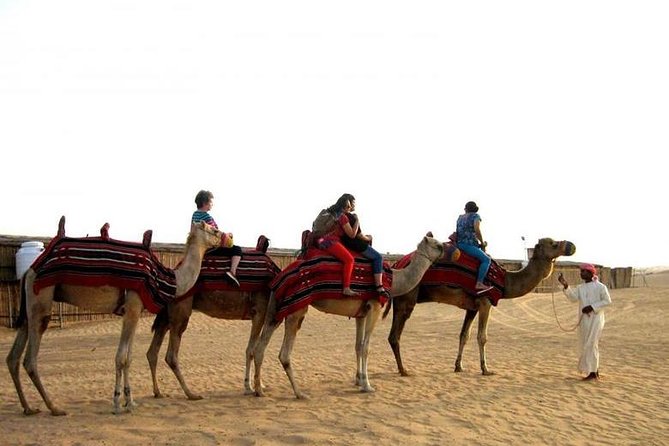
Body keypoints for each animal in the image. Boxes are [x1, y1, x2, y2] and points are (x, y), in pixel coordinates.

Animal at [5, 217, 225, 416]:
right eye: (213, 229)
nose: (227, 236)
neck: (165, 279)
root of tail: (30, 270)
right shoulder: (133, 306)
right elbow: (121, 357)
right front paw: (119, 403)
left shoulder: (133, 310)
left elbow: (128, 357)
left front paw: (129, 401)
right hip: (41, 297)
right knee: (30, 359)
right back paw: (54, 408)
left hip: (30, 304)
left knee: (13, 357)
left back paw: (28, 408)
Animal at [252, 235, 453, 399]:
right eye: (437, 245)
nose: (450, 250)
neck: (394, 280)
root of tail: (280, 276)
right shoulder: (375, 306)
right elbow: (366, 347)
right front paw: (367, 385)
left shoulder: (361, 314)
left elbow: (357, 346)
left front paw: (358, 380)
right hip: (297, 309)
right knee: (284, 353)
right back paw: (299, 393)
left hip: (276, 308)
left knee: (260, 346)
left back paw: (259, 389)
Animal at [384, 237, 576, 376]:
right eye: (554, 243)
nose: (572, 246)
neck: (505, 280)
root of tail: (396, 265)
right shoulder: (485, 302)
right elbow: (482, 337)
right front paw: (486, 369)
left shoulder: (472, 307)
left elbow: (464, 335)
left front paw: (459, 366)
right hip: (407, 299)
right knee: (394, 336)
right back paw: (403, 370)